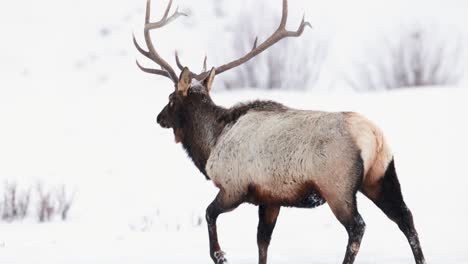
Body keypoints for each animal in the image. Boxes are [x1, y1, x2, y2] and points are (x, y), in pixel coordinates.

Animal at [133, 1, 426, 262]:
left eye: (171, 98)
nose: (159, 117)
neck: (211, 143)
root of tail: (374, 137)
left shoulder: (234, 187)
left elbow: (209, 214)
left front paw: (220, 255)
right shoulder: (271, 198)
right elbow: (262, 242)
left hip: (337, 186)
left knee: (358, 226)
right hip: (381, 176)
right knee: (405, 217)